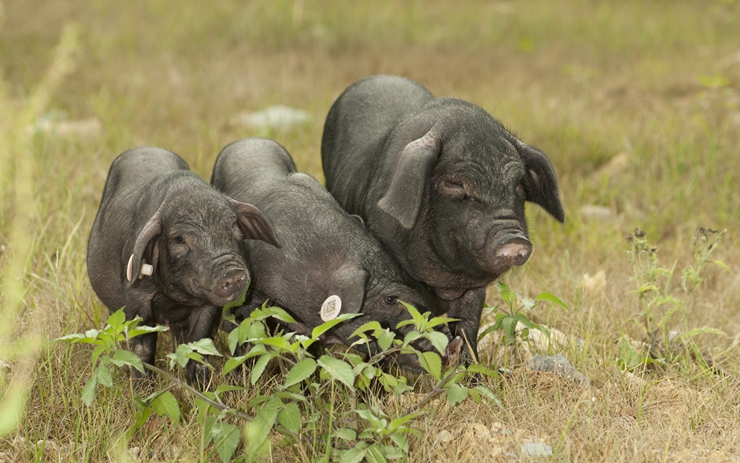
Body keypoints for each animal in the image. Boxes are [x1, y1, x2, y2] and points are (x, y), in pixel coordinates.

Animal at [86, 148, 278, 384]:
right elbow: (142, 348)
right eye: (179, 239)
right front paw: (143, 388)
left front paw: (200, 385)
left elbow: (198, 341)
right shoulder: (136, 297)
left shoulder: (207, 304)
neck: (175, 297)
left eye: (233, 225)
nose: (231, 272)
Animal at [320, 76, 564, 364]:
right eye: (456, 184)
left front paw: (471, 370)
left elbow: (467, 325)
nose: (514, 239)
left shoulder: (474, 288)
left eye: (518, 184)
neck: (447, 277)